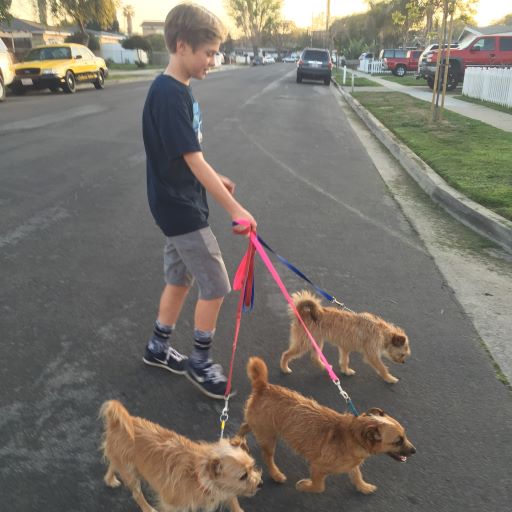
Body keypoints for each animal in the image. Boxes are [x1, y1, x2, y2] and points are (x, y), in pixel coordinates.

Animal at [100, 400, 262, 512]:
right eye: (243, 476)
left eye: (253, 467)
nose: (260, 483)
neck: (198, 476)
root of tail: (117, 423)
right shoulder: (172, 505)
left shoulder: (224, 491)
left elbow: (233, 500)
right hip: (131, 473)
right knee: (136, 493)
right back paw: (147, 508)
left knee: (112, 463)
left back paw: (109, 479)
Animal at [239, 357, 416, 494]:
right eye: (398, 441)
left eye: (405, 435)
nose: (414, 451)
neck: (353, 436)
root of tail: (264, 386)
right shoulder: (317, 467)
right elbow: (319, 486)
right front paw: (304, 486)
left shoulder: (352, 465)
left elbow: (356, 474)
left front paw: (363, 487)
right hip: (268, 436)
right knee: (267, 457)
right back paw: (276, 474)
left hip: (260, 425)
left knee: (244, 425)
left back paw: (238, 440)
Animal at [280, 290, 411, 383]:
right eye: (402, 354)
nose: (403, 362)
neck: (383, 333)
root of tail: (303, 314)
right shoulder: (371, 354)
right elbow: (382, 367)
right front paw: (389, 378)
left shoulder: (345, 347)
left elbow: (344, 360)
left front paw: (346, 371)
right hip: (305, 342)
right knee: (286, 354)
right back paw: (284, 368)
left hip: (316, 341)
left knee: (314, 357)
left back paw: (324, 367)